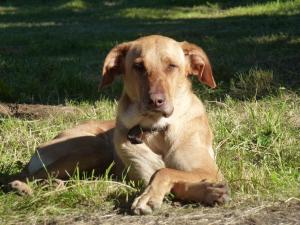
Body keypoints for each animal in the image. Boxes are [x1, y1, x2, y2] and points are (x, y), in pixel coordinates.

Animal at [4, 34, 229, 214]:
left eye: (172, 66)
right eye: (138, 66)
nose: (156, 100)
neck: (156, 129)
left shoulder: (208, 169)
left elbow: (169, 173)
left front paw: (209, 191)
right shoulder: (142, 175)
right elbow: (163, 173)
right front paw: (152, 197)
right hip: (93, 148)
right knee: (31, 175)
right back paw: (22, 187)